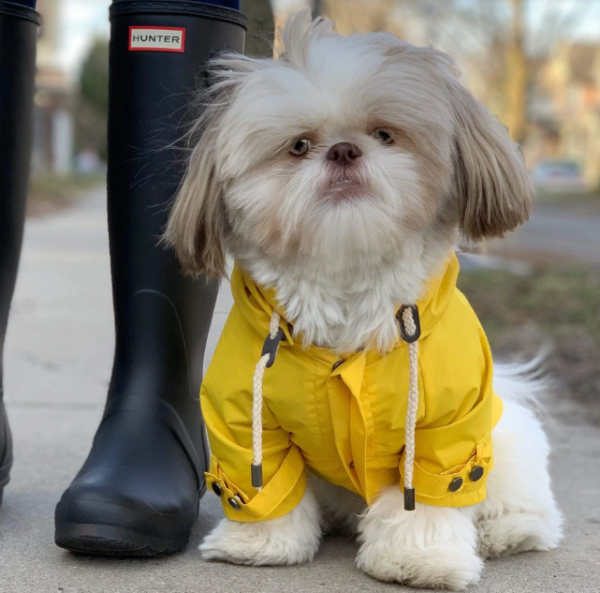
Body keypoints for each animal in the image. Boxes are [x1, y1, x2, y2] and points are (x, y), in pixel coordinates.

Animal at [163, 11, 564, 588]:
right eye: (299, 146)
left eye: (384, 134)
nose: (344, 150)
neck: (348, 287)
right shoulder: (242, 419)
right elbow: (262, 482)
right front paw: (259, 544)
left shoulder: (444, 430)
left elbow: (428, 498)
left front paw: (421, 558)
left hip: (505, 445)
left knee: (524, 507)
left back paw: (506, 532)